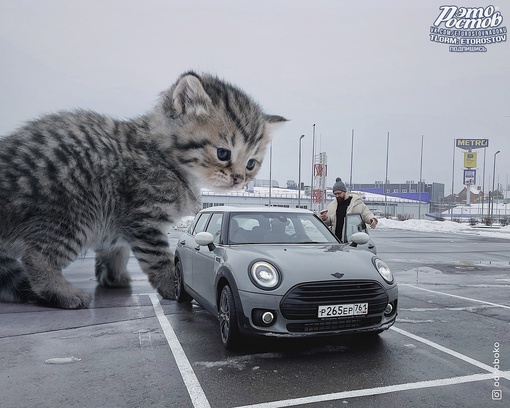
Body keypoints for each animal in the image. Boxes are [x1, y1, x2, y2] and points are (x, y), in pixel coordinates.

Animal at [0, 72, 286, 310]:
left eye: (251, 164)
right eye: (223, 153)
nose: (239, 179)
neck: (163, 156)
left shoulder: (119, 221)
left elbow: (115, 248)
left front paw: (113, 275)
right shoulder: (144, 215)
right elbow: (159, 257)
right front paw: (173, 285)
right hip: (76, 213)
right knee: (37, 256)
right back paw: (62, 292)